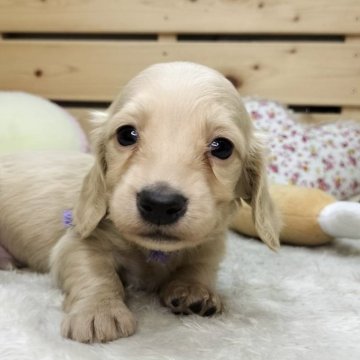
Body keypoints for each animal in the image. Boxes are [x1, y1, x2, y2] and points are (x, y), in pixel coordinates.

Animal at [0, 62, 282, 344]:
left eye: (222, 147)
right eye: (127, 134)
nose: (160, 204)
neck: (154, 252)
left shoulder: (208, 248)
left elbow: (198, 268)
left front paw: (195, 291)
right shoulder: (76, 243)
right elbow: (96, 272)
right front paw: (99, 311)